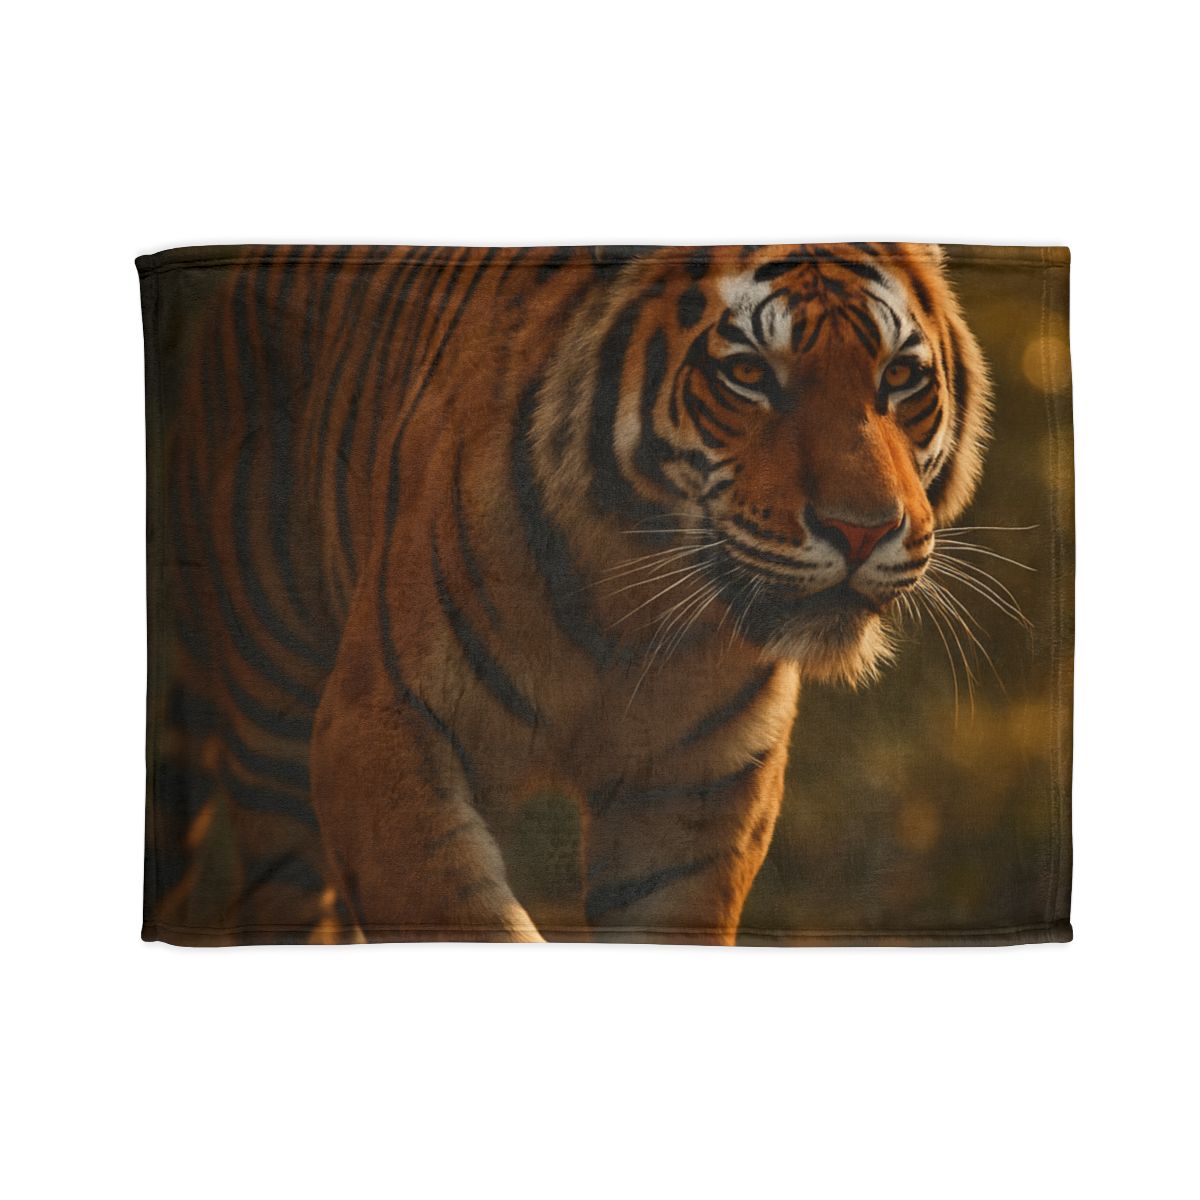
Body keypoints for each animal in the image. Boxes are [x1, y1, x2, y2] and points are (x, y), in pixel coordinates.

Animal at [140, 242, 990, 945]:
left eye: (899, 377)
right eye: (748, 374)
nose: (862, 531)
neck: (629, 616)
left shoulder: (697, 792)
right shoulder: (376, 726)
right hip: (270, 719)